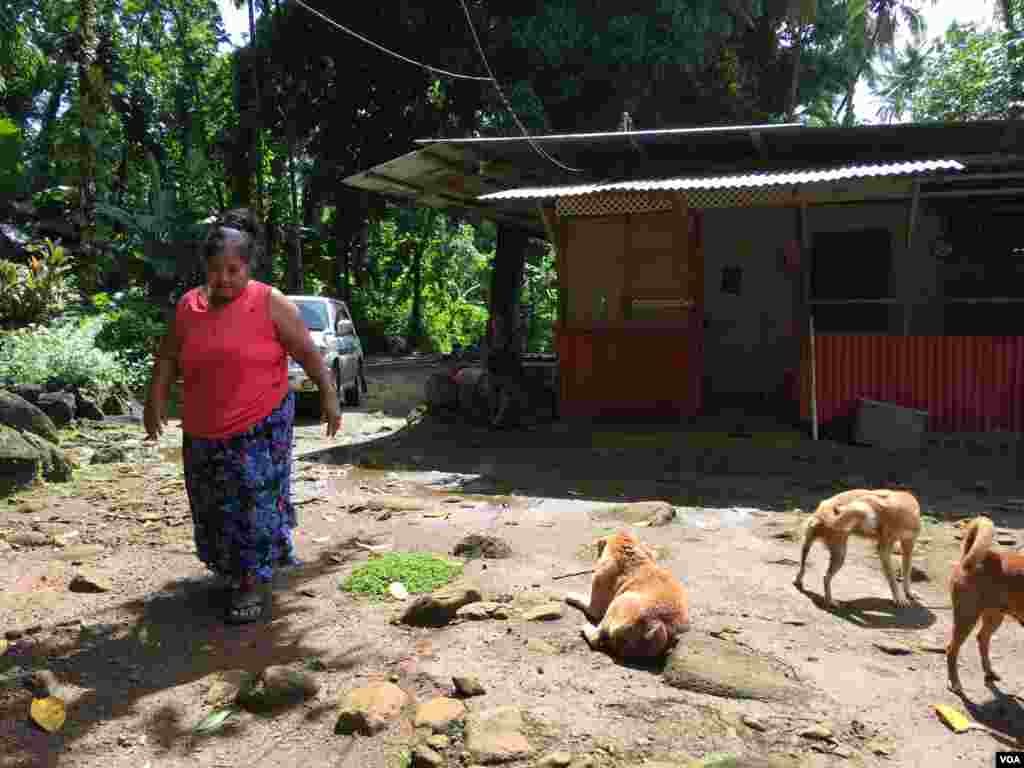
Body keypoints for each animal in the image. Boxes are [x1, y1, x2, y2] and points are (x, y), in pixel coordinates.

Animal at [565, 528, 692, 663]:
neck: (630, 556)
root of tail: (657, 624)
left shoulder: (595, 603)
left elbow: (584, 601)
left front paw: (571, 595)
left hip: (617, 604)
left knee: (596, 637)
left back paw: (587, 628)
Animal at [790, 489, 921, 610]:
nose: (837, 509)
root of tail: (822, 512)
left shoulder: (908, 547)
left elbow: (906, 574)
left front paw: (908, 593)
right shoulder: (884, 549)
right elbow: (892, 579)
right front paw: (899, 598)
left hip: (808, 546)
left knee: (803, 567)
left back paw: (799, 581)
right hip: (840, 555)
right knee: (825, 577)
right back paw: (830, 601)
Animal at [942, 518, 1024, 696]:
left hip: (994, 616)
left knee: (982, 638)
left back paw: (989, 671)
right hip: (967, 617)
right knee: (951, 649)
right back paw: (955, 683)